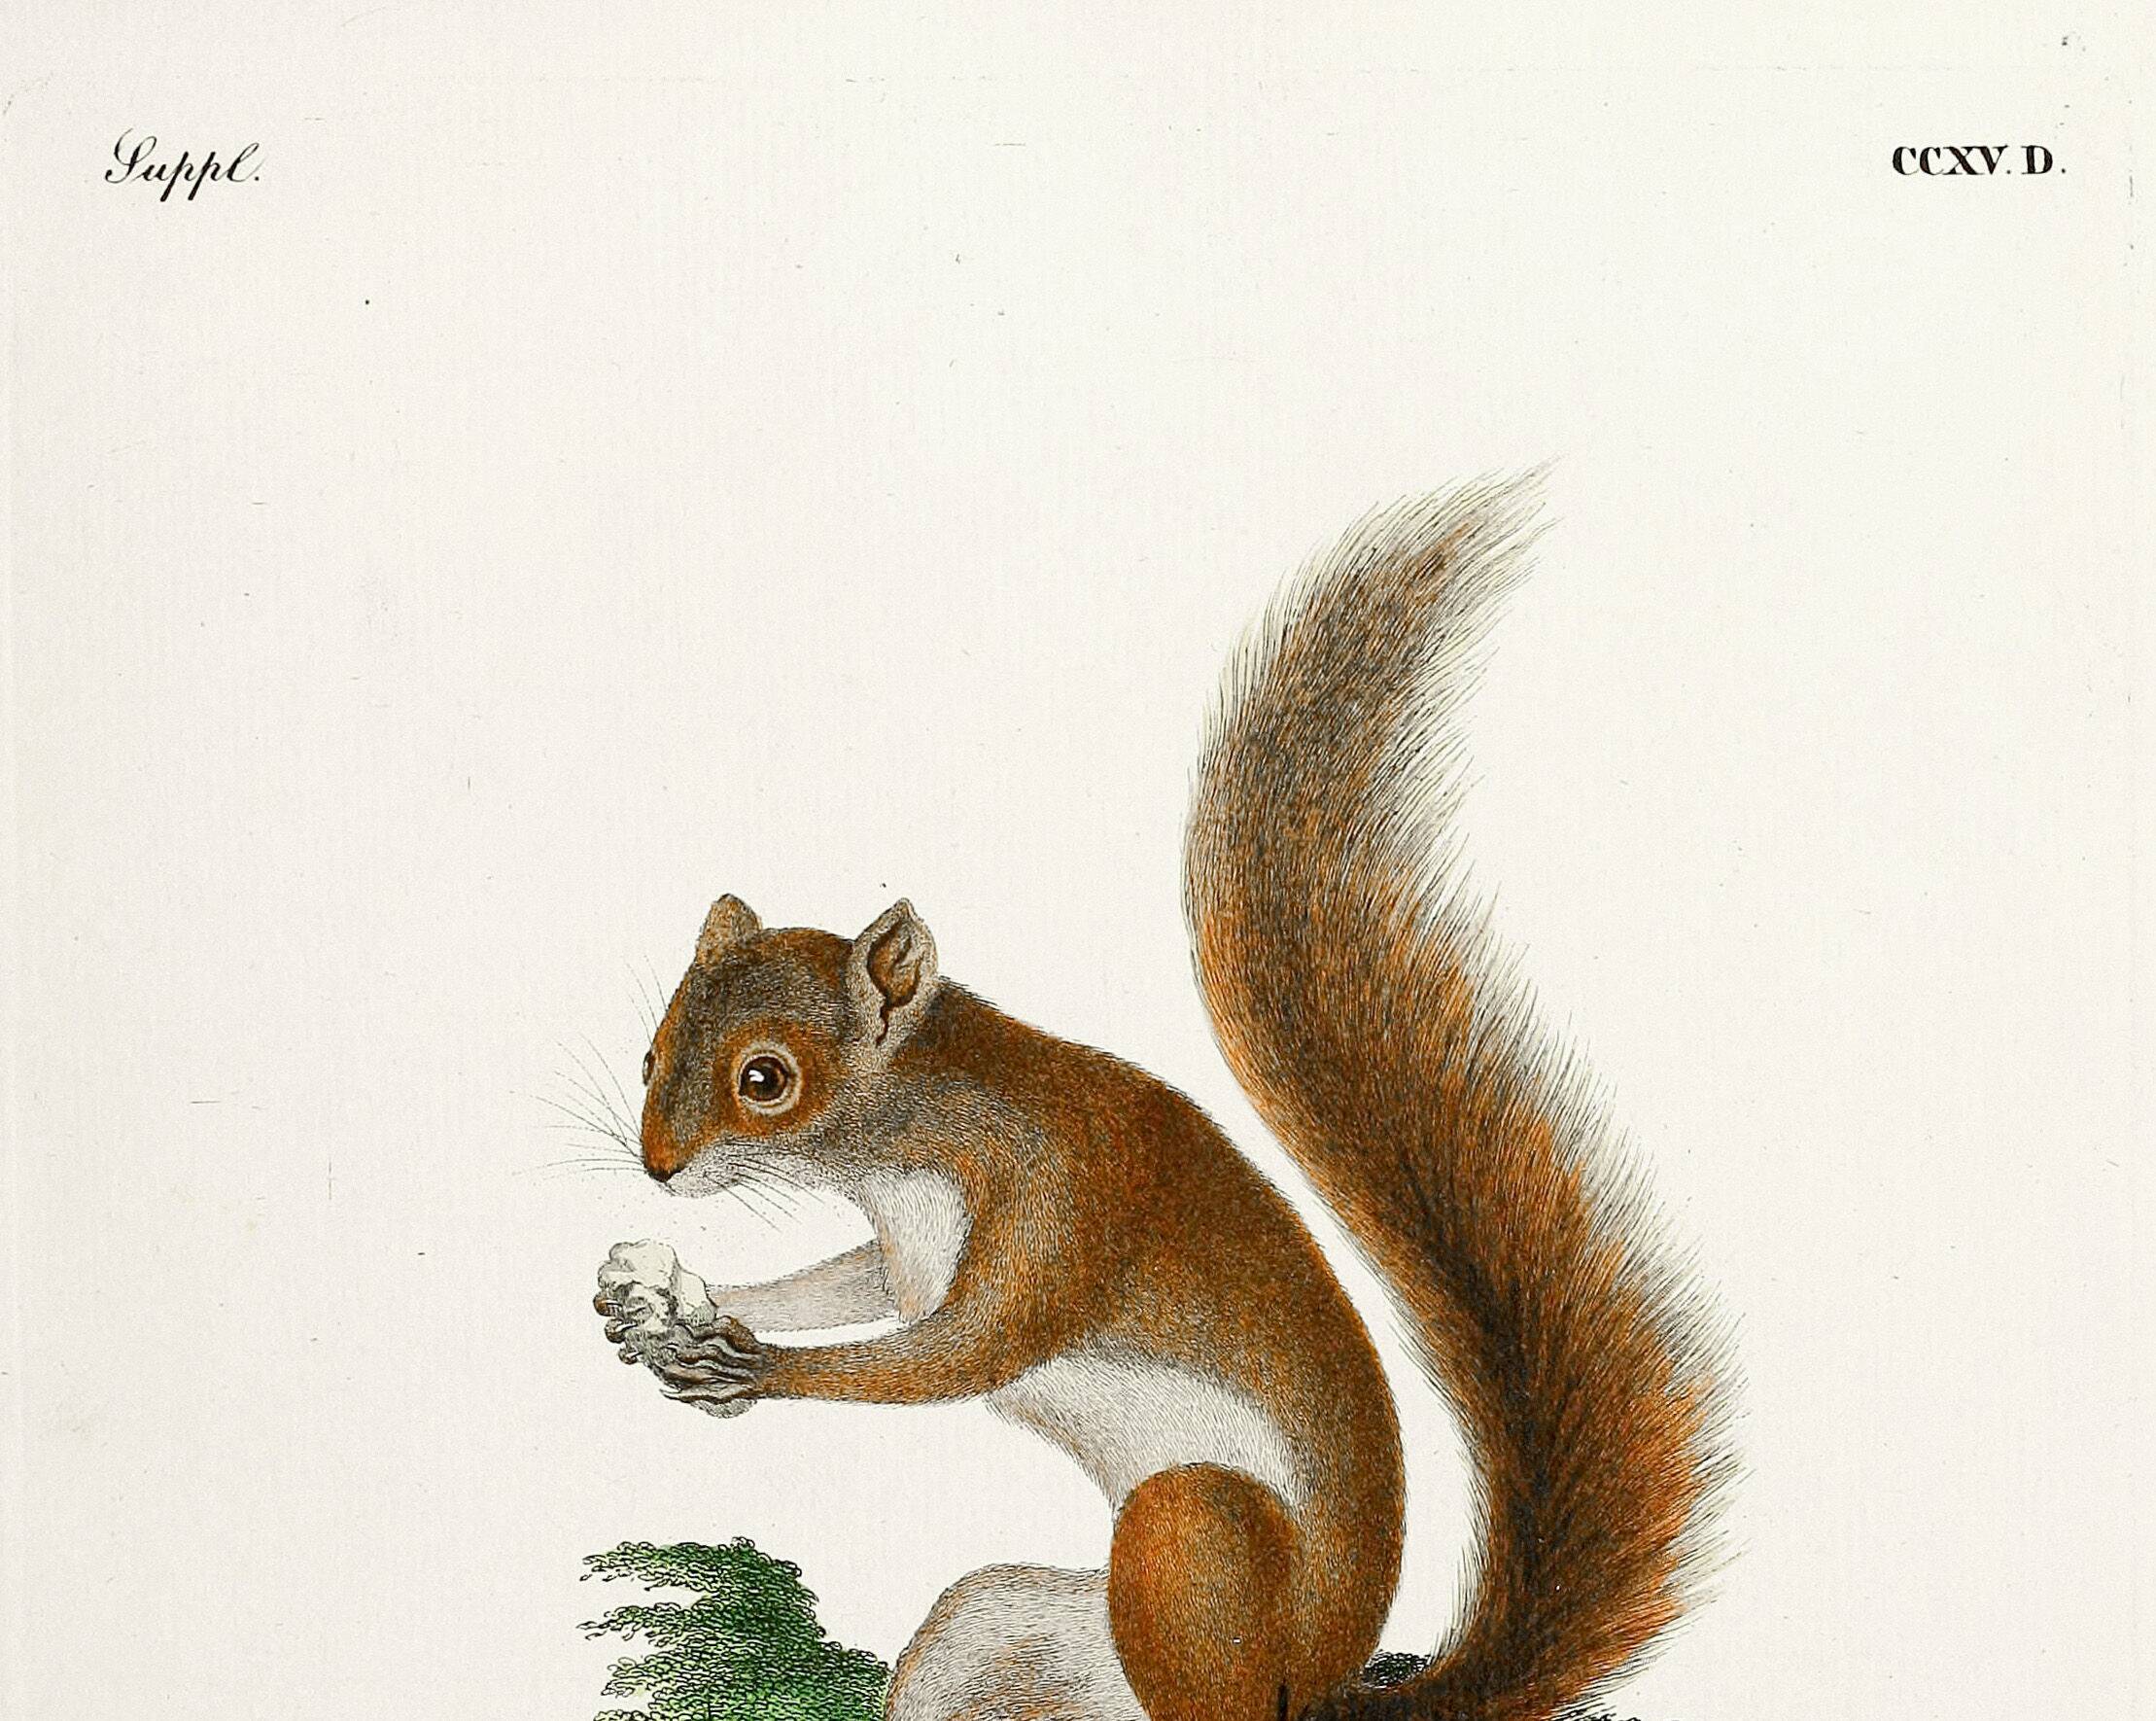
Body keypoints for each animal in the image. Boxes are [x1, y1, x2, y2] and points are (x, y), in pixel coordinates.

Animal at [594, 475, 1731, 1721]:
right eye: (650, 1053)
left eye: (766, 1079)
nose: (657, 1167)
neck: (908, 1152)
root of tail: (1311, 1685)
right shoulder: (905, 1252)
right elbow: (854, 1288)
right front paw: (665, 1293)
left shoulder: (1062, 1202)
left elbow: (956, 1355)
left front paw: (747, 1365)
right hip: (997, 1633)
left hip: (1194, 1534)